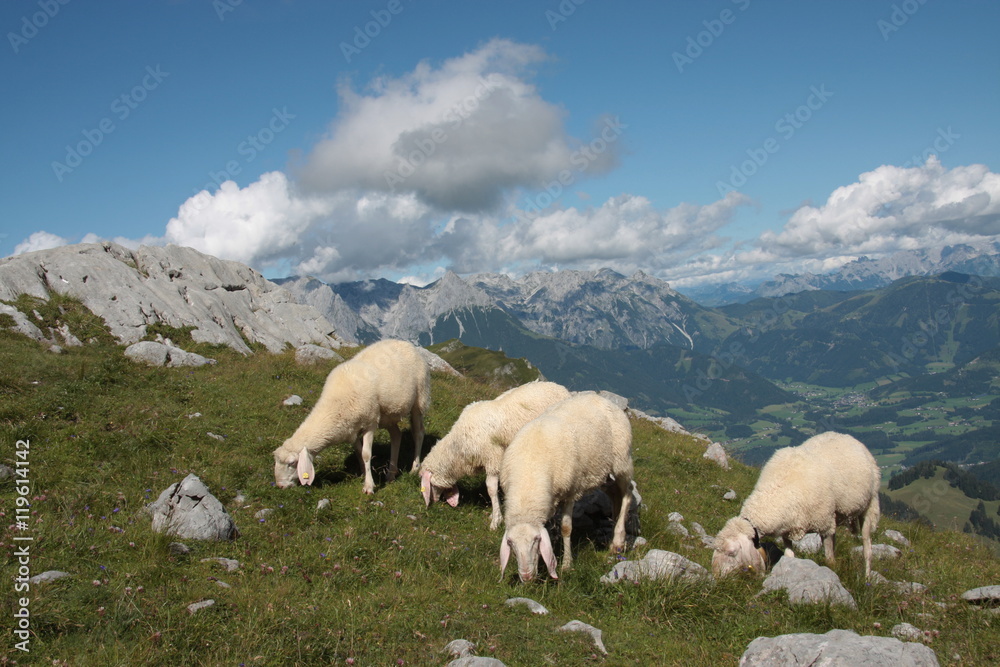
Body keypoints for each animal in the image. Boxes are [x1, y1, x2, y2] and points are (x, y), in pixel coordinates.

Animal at [272, 339, 431, 495]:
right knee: (396, 435)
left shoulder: (370, 423)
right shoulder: (351, 429)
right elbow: (359, 452)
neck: (336, 404)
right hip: (387, 415)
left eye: (292, 463)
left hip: (419, 398)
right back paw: (391, 474)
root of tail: (405, 342)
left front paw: (369, 486)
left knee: (418, 433)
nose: (280, 486)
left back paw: (414, 468)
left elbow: (366, 454)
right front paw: (363, 474)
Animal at [420, 381, 571, 530]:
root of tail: (562, 389)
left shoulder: (492, 459)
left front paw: (496, 520)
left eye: (429, 484)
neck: (458, 448)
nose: (434, 501)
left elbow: (491, 489)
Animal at [499, 392, 634, 582]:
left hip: (622, 460)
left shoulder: (571, 492)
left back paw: (618, 541)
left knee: (627, 494)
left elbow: (566, 528)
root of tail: (603, 399)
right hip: (599, 471)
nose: (526, 577)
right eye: (510, 543)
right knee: (615, 492)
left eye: (536, 540)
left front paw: (567, 564)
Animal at [712, 431, 881, 579]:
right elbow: (789, 555)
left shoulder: (824, 523)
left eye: (731, 552)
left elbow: (829, 558)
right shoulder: (787, 530)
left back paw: (867, 577)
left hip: (869, 505)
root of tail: (845, 435)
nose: (716, 578)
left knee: (867, 547)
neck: (778, 489)